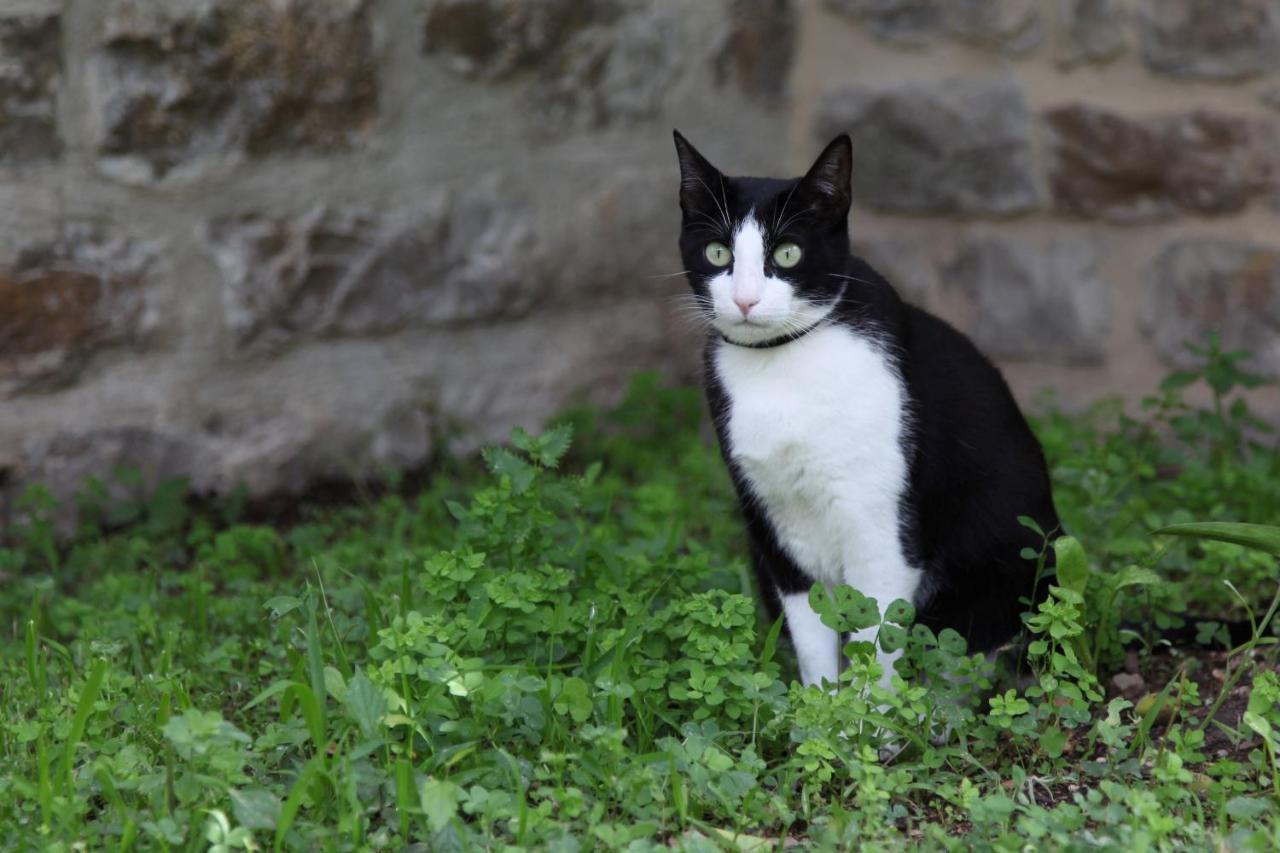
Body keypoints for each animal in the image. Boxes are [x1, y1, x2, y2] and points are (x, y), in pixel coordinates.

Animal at [670, 131, 1059, 691]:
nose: (744, 300)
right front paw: (818, 705)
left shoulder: (881, 532)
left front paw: (870, 714)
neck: (784, 365)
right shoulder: (779, 532)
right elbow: (813, 640)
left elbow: (879, 638)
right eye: (717, 251)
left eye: (788, 253)